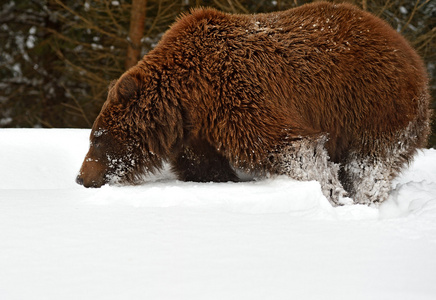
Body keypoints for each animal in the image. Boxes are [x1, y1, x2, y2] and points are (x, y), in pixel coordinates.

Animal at [76, 1, 430, 206]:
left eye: (98, 138)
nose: (81, 178)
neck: (189, 97)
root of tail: (411, 52)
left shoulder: (241, 94)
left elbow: (291, 147)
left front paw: (331, 194)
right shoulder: (198, 131)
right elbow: (203, 166)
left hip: (374, 104)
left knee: (370, 163)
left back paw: (365, 197)